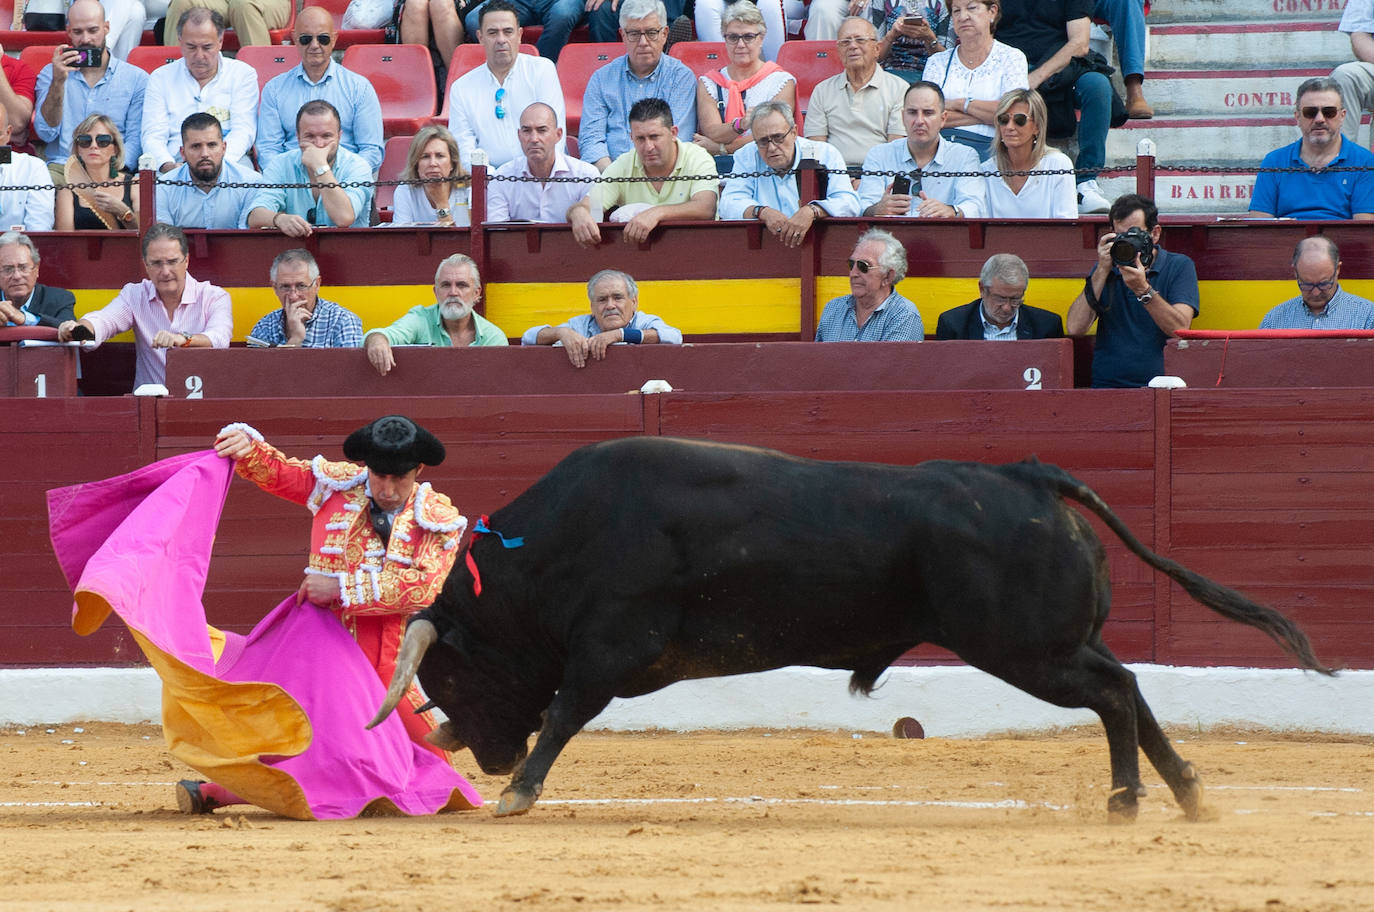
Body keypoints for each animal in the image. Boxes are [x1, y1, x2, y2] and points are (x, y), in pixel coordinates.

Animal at [370, 434, 1335, 818]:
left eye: (447, 674)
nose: (477, 753)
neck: (557, 543)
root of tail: (1026, 475)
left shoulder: (609, 650)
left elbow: (566, 713)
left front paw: (520, 794)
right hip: (1056, 641)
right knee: (1131, 686)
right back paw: (1188, 793)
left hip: (1026, 651)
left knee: (1112, 693)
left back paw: (1128, 800)